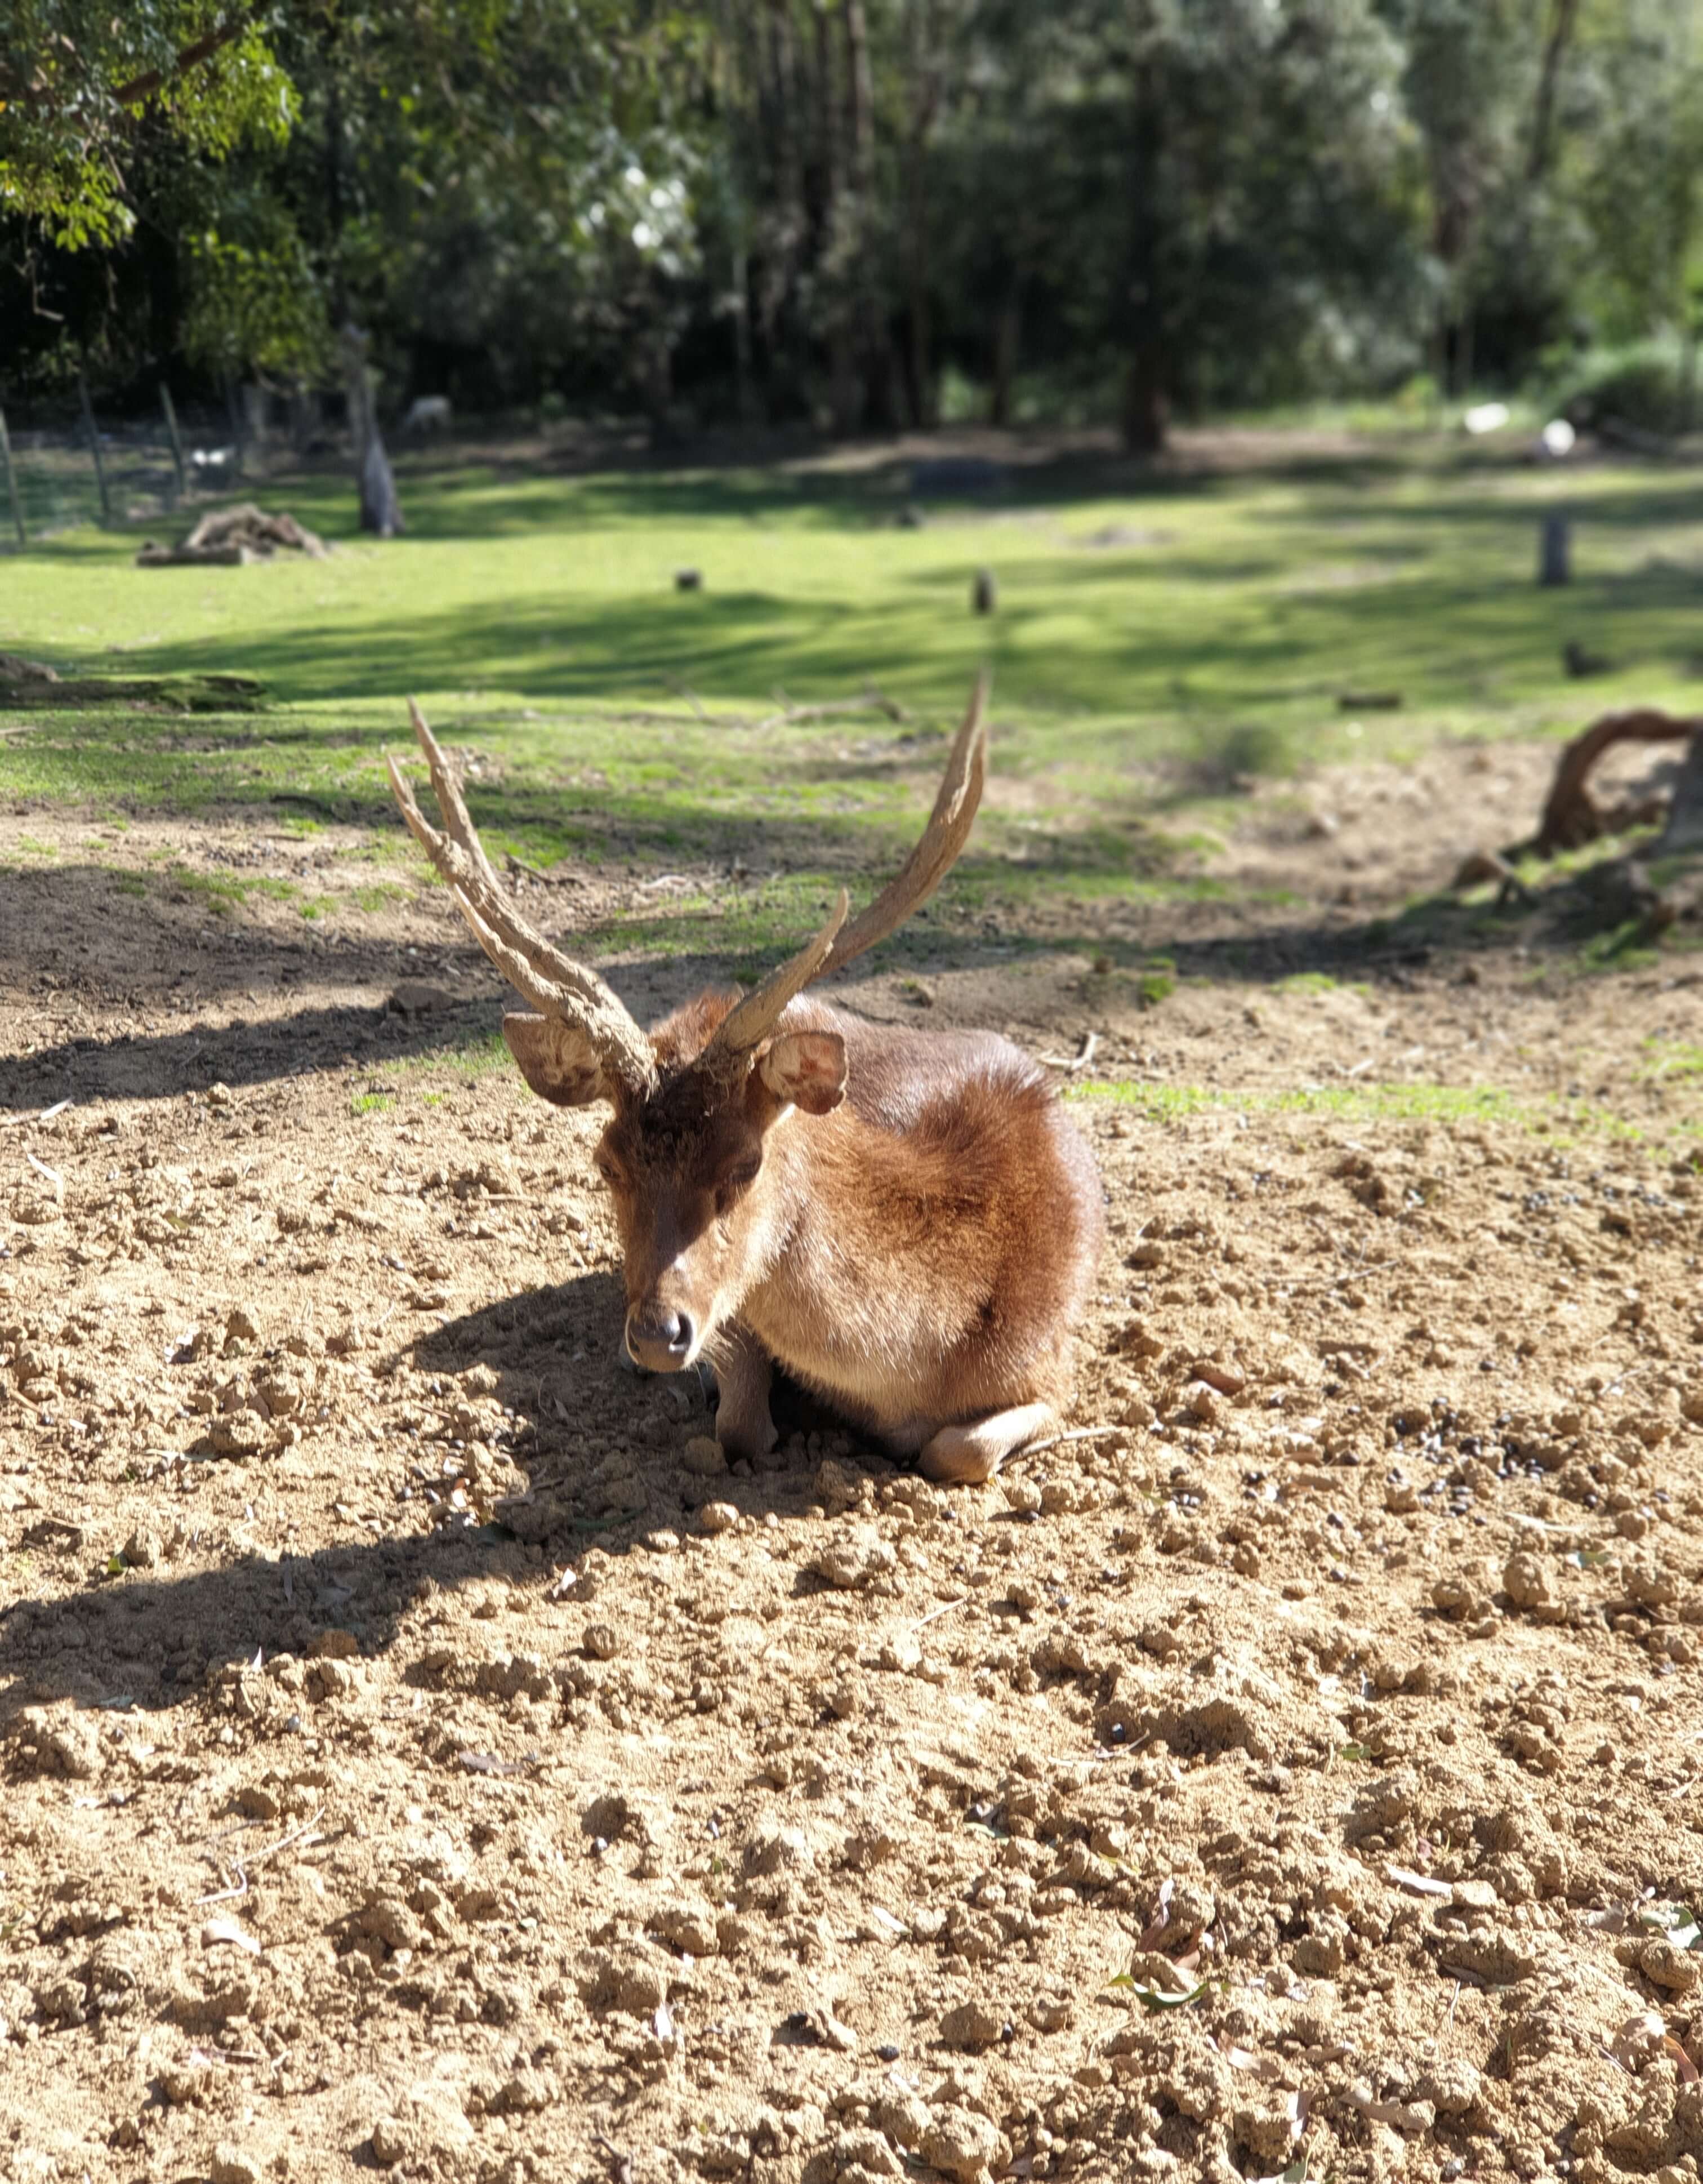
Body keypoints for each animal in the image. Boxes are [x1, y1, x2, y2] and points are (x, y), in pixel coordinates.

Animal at [386, 679, 1104, 1484]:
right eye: (606, 1165)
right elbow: (739, 1425)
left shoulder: (1051, 1366)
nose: (657, 1334)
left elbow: (959, 1448)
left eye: (744, 1165)